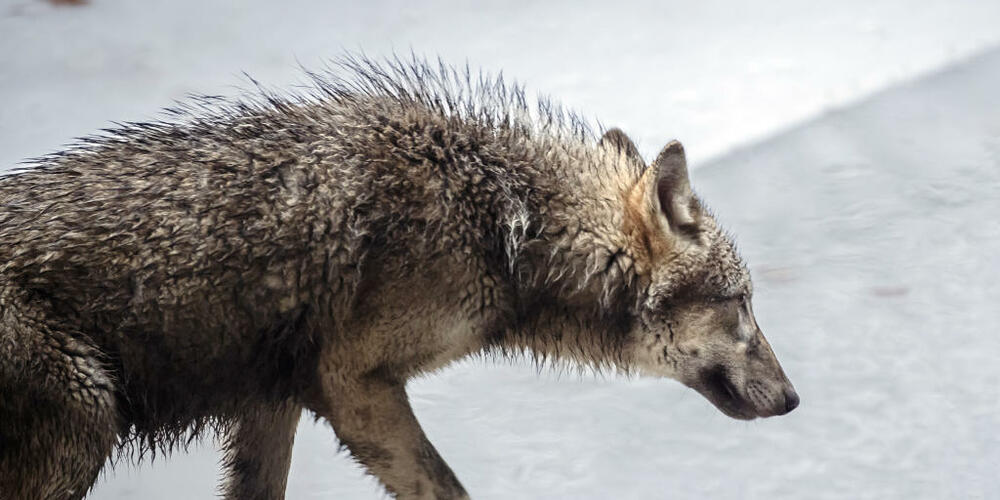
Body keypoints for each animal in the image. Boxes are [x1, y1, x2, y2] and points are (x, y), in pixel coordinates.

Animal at [0, 56, 798, 499]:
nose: (794, 400)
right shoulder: (354, 385)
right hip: (88, 421)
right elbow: (449, 493)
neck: (504, 226)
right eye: (741, 304)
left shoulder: (274, 402)